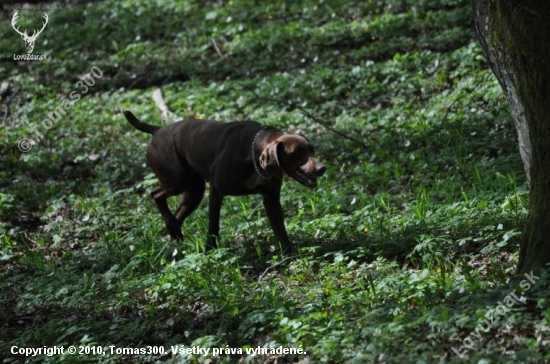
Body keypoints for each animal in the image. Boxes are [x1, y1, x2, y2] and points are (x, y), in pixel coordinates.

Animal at [123, 111, 326, 253]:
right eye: (296, 153)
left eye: (312, 149)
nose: (322, 168)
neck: (253, 152)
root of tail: (157, 131)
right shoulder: (216, 192)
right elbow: (214, 226)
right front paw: (210, 250)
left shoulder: (271, 199)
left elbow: (280, 230)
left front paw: (289, 255)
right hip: (176, 182)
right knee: (155, 194)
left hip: (193, 191)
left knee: (176, 215)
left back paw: (176, 235)